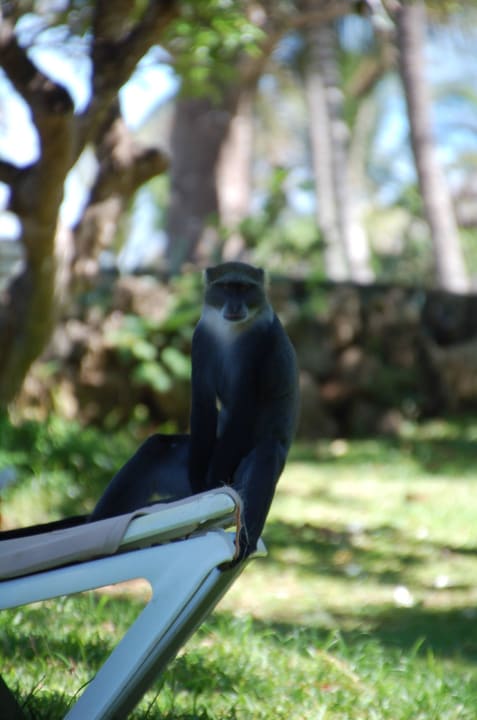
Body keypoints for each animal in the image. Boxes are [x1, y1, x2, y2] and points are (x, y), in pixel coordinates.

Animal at [90, 262, 299, 562]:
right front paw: (202, 485)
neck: (230, 332)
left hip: (243, 473)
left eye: (244, 288)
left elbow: (242, 411)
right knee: (156, 446)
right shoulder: (201, 339)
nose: (235, 304)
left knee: (267, 455)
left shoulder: (257, 348)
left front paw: (212, 484)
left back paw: (245, 541)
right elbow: (203, 404)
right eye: (226, 287)